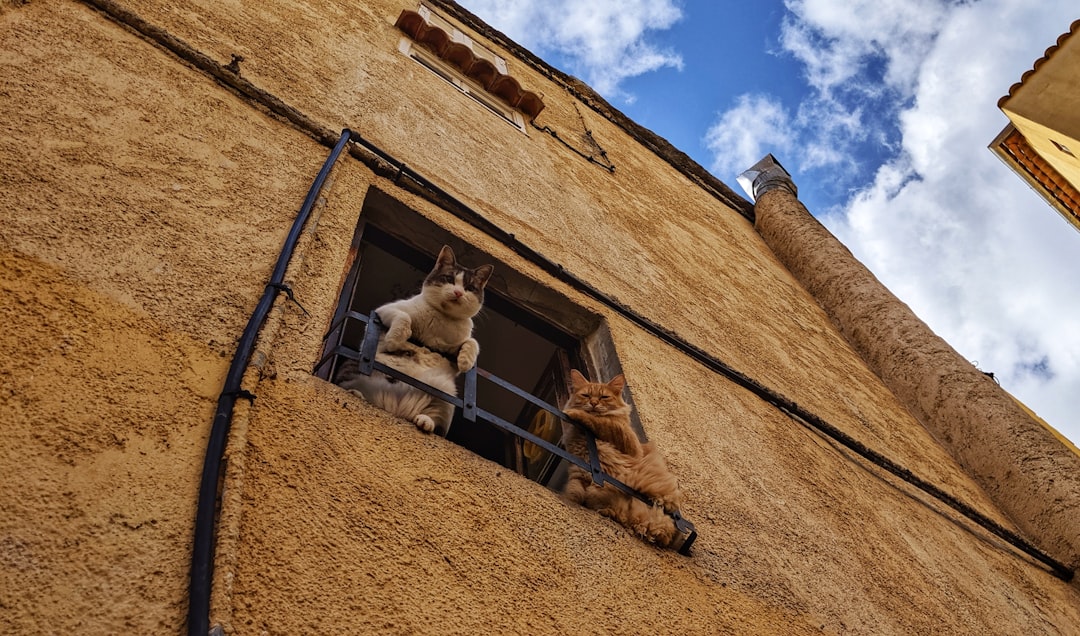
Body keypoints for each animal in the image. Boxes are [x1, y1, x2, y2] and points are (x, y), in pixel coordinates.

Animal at [336, 244, 494, 436]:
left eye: (469, 287)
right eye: (449, 278)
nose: (458, 292)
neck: (442, 318)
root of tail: (395, 409)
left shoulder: (455, 348)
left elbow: (472, 342)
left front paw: (466, 361)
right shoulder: (384, 310)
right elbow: (404, 318)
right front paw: (394, 340)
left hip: (445, 395)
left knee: (437, 427)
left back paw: (425, 421)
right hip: (353, 367)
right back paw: (356, 393)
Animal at [557, 369, 682, 548]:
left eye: (604, 397)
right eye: (586, 395)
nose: (593, 403)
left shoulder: (630, 444)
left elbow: (603, 422)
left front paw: (575, 413)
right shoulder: (579, 472)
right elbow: (574, 491)